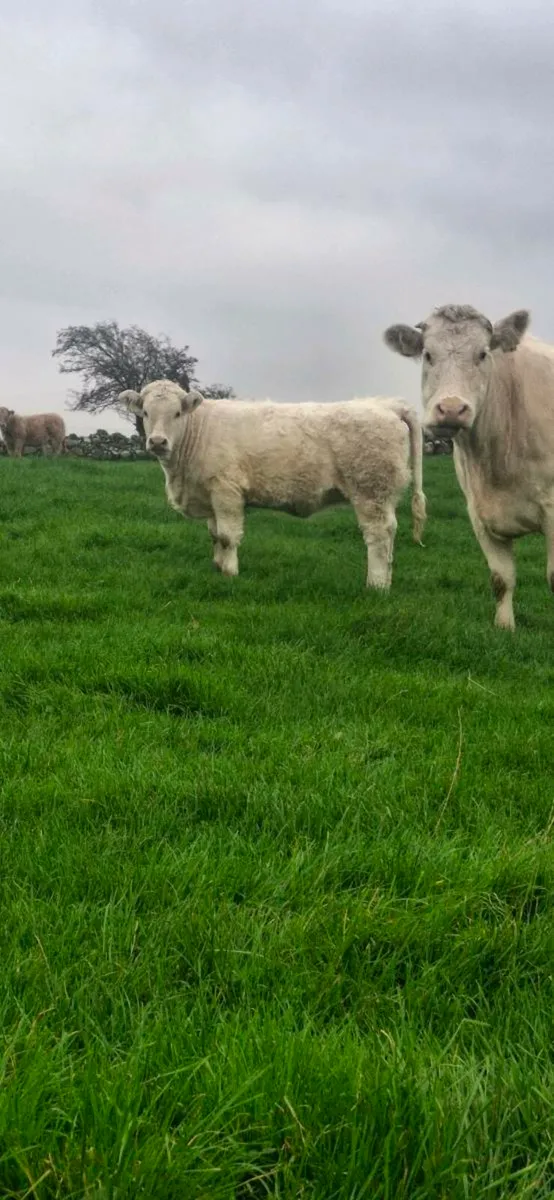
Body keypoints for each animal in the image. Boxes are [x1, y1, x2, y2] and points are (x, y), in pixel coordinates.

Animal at [119, 381, 426, 589]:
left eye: (177, 414)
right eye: (145, 412)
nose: (158, 442)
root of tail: (387, 404)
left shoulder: (226, 491)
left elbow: (228, 536)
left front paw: (230, 573)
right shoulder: (209, 495)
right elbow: (215, 535)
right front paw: (217, 566)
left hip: (371, 491)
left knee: (378, 535)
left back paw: (376, 585)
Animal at [383, 303, 554, 630]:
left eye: (483, 354)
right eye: (428, 354)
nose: (451, 409)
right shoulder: (477, 512)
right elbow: (501, 579)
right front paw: (504, 628)